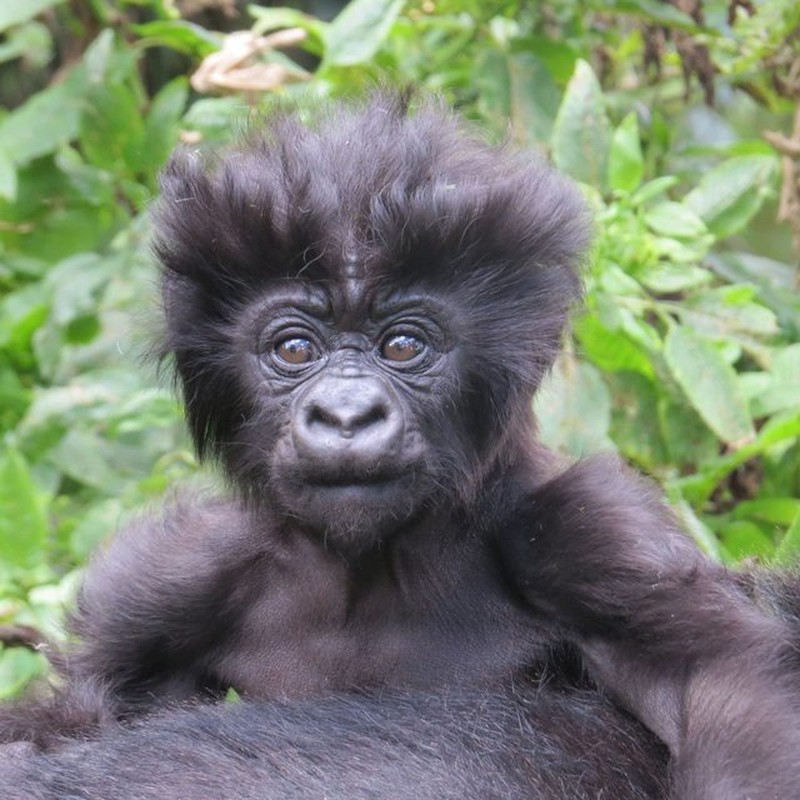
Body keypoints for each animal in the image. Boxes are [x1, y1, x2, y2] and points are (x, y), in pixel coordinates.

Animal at [1, 100, 800, 800]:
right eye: (295, 349)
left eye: (404, 345)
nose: (347, 416)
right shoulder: (165, 584)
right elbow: (73, 714)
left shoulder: (587, 536)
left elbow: (722, 691)